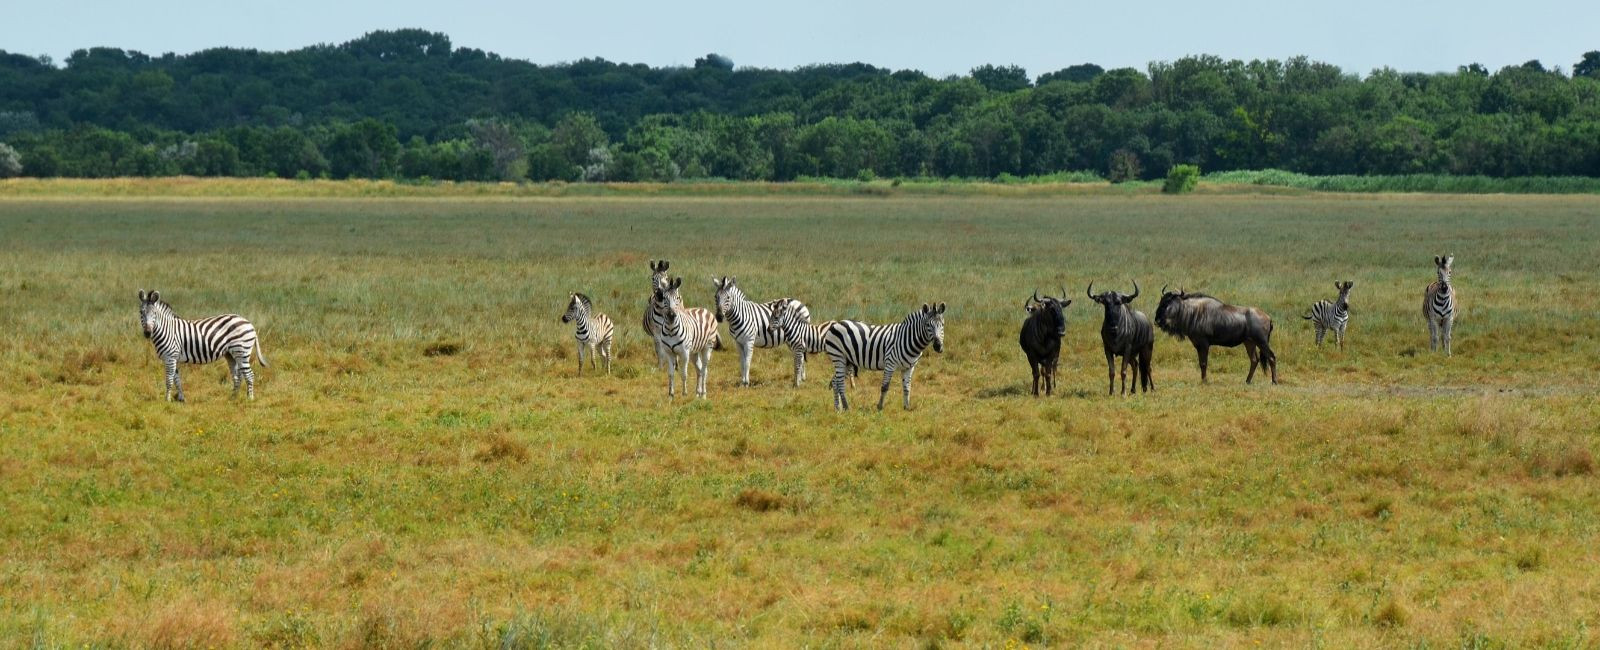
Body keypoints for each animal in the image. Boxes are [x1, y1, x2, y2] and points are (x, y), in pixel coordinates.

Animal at [137, 289, 268, 401]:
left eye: (154, 313)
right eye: (141, 312)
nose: (147, 333)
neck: (167, 330)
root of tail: (249, 323)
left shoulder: (170, 357)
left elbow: (169, 380)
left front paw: (167, 400)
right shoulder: (173, 358)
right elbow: (177, 379)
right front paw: (181, 399)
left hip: (242, 351)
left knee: (249, 375)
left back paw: (250, 399)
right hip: (231, 354)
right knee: (238, 376)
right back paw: (233, 398)